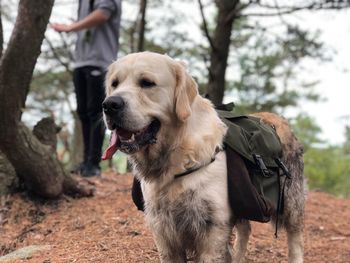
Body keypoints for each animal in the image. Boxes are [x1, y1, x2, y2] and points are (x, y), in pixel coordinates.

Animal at [102, 52, 304, 263]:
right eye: (114, 83)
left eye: (147, 83)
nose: (109, 105)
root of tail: (281, 119)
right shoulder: (163, 230)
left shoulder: (213, 229)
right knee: (245, 230)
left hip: (290, 201)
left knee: (295, 238)